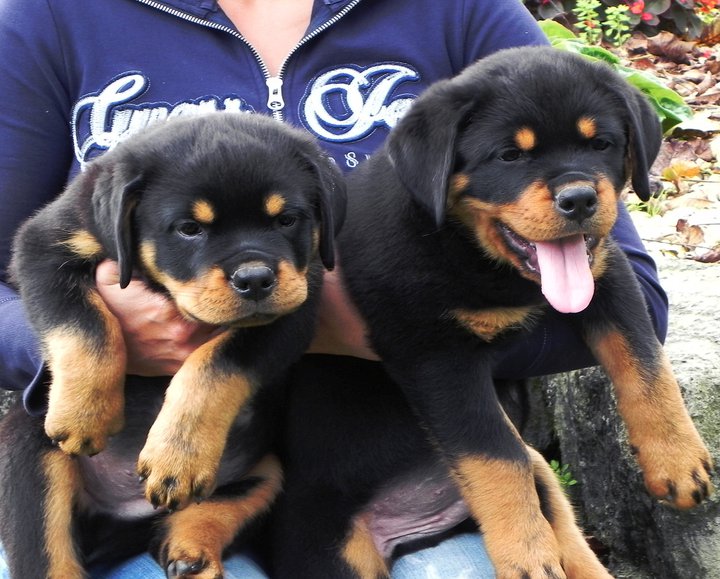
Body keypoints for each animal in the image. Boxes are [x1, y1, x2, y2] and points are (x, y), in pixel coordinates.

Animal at [1, 112, 345, 578]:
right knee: (45, 550)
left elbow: (213, 368)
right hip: (28, 447)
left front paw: (179, 457)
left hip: (268, 470)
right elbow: (85, 326)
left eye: (287, 220)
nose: (255, 279)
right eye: (189, 229)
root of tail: (124, 512)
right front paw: (85, 415)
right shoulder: (46, 245)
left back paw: (191, 551)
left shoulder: (296, 302)